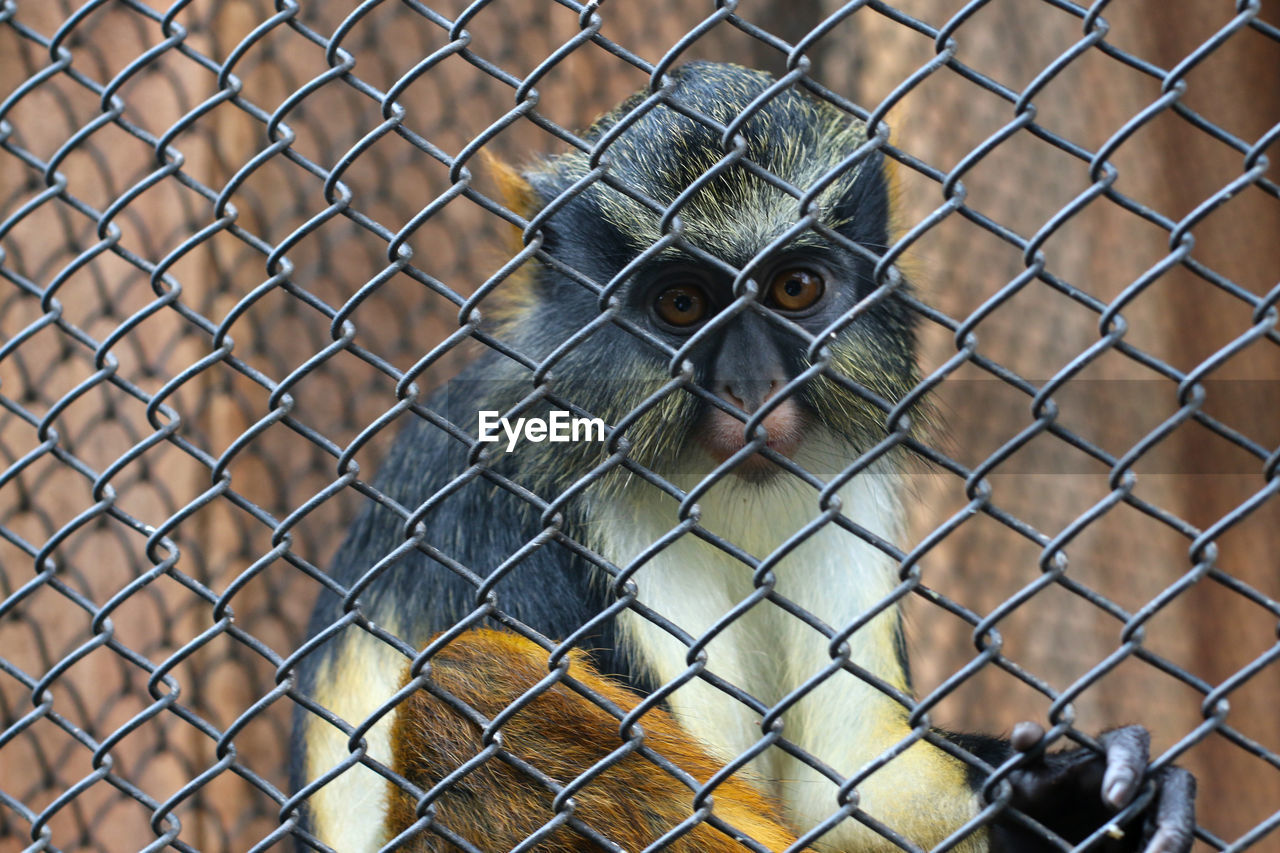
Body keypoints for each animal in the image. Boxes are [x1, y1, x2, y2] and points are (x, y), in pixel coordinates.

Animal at [291, 62, 1196, 852]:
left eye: (795, 288)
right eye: (681, 303)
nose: (753, 385)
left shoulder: (840, 479)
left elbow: (858, 794)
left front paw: (1066, 794)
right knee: (469, 680)